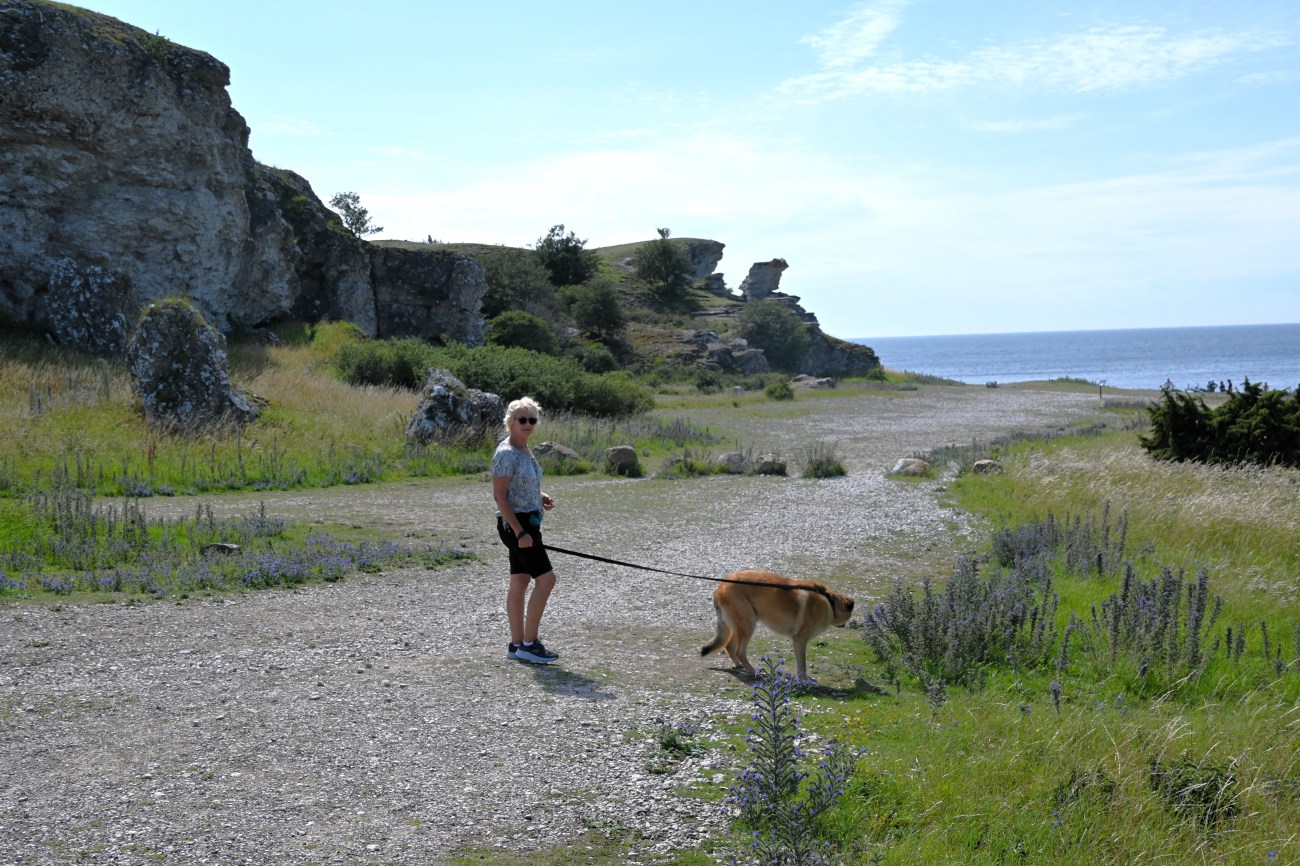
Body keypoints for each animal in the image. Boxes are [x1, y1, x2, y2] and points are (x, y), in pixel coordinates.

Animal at [700, 569, 855, 680]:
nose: (845, 625)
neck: (830, 601)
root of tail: (721, 586)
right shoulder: (800, 640)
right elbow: (802, 664)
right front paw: (804, 679)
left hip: (738, 625)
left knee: (729, 645)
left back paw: (739, 665)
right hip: (748, 624)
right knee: (739, 651)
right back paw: (751, 671)